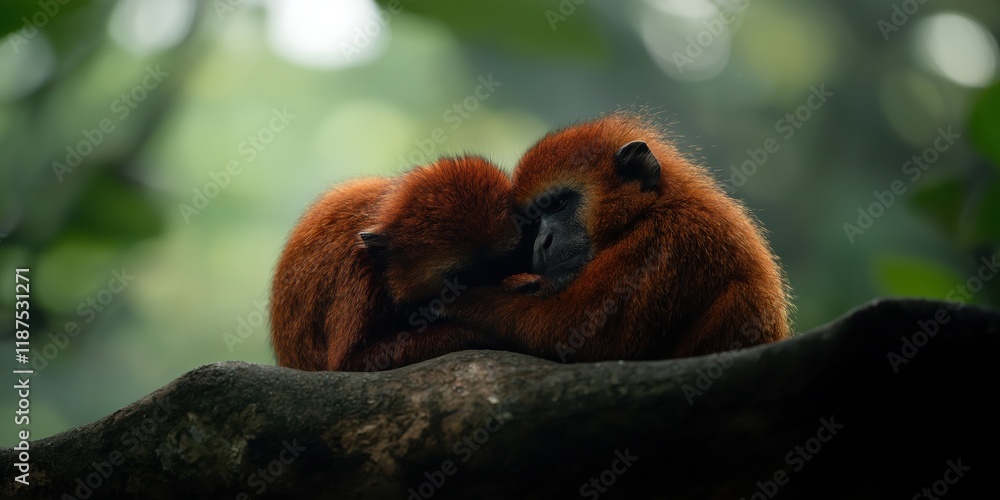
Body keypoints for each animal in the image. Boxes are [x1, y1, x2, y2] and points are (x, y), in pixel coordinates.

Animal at [442, 113, 792, 362]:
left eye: (558, 205)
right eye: (534, 220)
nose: (542, 242)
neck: (653, 208)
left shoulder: (670, 237)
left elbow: (574, 337)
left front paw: (466, 300)